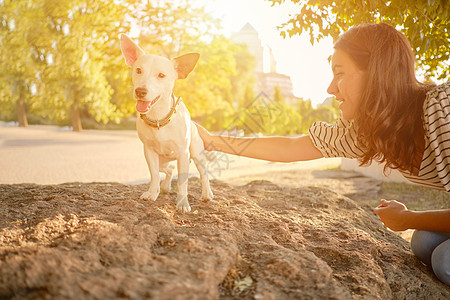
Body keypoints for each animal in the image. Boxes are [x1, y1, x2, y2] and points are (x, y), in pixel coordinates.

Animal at [120, 34, 214, 212]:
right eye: (138, 70)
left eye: (161, 75)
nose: (140, 91)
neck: (159, 119)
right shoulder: (149, 152)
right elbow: (154, 175)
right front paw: (152, 193)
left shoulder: (184, 155)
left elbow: (183, 183)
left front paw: (182, 203)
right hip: (162, 160)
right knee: (169, 169)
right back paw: (164, 187)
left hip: (196, 154)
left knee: (203, 174)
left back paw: (207, 194)